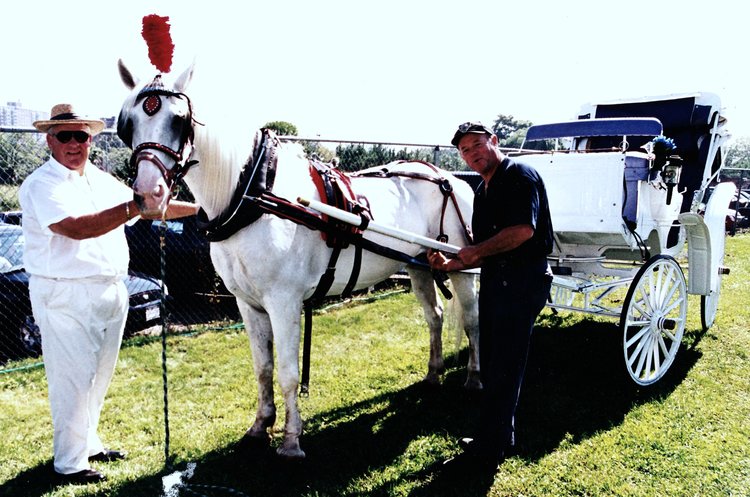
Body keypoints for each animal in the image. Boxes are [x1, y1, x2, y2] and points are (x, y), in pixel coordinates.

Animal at [117, 60, 482, 460]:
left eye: (179, 119)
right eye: (128, 123)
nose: (148, 195)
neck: (254, 195)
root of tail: (448, 178)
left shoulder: (284, 302)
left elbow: (289, 372)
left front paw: (291, 440)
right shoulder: (247, 304)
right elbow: (263, 368)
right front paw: (260, 426)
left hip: (462, 266)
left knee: (472, 320)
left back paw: (474, 378)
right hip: (419, 265)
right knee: (434, 317)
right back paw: (433, 374)